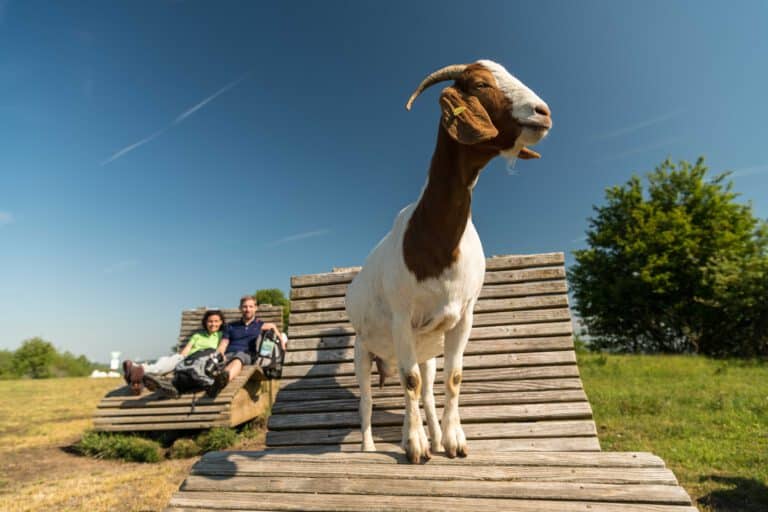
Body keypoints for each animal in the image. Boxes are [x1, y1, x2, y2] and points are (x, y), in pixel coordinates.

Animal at [345, 60, 552, 463]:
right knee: (368, 401)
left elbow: (452, 379)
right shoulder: (401, 318)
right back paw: (369, 446)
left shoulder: (463, 316)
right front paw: (415, 446)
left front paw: (453, 441)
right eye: (480, 84)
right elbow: (408, 381)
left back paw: (436, 437)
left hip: (427, 351)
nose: (543, 113)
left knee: (425, 391)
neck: (435, 241)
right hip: (364, 349)